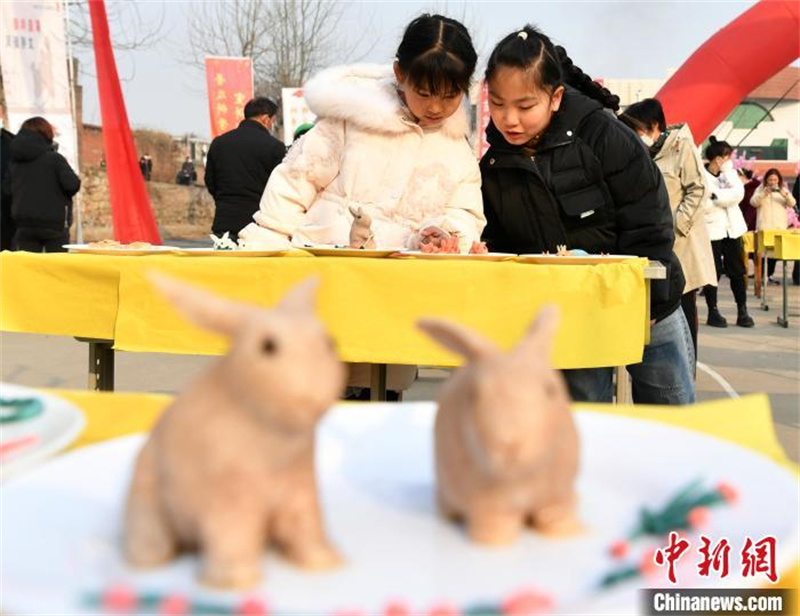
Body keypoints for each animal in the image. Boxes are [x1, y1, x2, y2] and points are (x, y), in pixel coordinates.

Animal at [123, 274, 346, 588]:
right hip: (146, 503)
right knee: (150, 536)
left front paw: (325, 562)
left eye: (331, 342)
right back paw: (147, 563)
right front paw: (235, 580)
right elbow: (233, 536)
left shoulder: (301, 487)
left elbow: (307, 528)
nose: (311, 400)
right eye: (267, 346)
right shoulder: (229, 495)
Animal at [418, 306, 580, 548]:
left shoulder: (558, 493)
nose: (509, 445)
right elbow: (494, 523)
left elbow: (556, 512)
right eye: (474, 395)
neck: (521, 477)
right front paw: (495, 542)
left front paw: (567, 531)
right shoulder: (487, 502)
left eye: (551, 390)